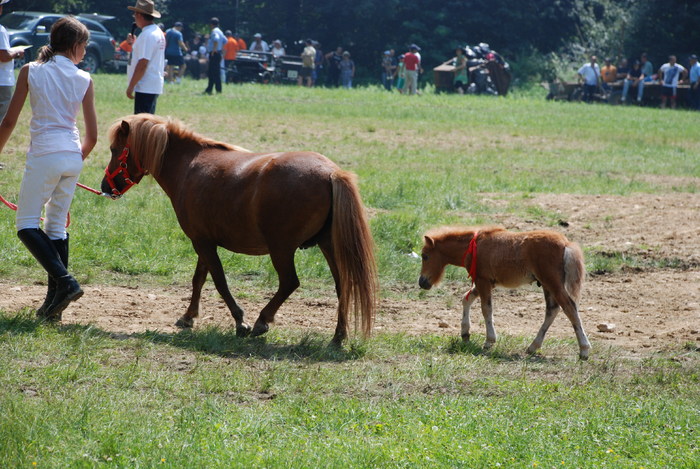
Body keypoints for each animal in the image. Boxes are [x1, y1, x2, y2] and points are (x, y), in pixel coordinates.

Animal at [100, 115, 378, 344]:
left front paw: (239, 321)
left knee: (290, 282)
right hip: (328, 246)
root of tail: (332, 172)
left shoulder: (202, 242)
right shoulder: (204, 241)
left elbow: (219, 281)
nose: (104, 186)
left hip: (282, 249)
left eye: (115, 150)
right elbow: (199, 279)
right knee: (343, 286)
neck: (189, 166)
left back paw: (262, 321)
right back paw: (338, 336)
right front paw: (188, 316)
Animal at [422, 226, 592, 358]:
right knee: (552, 310)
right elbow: (466, 299)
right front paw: (465, 334)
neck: (474, 246)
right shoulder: (485, 282)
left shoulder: (483, 281)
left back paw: (584, 350)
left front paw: (489, 341)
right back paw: (533, 347)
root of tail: (566, 243)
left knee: (569, 308)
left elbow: (486, 309)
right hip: (546, 284)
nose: (422, 282)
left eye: (425, 256)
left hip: (552, 283)